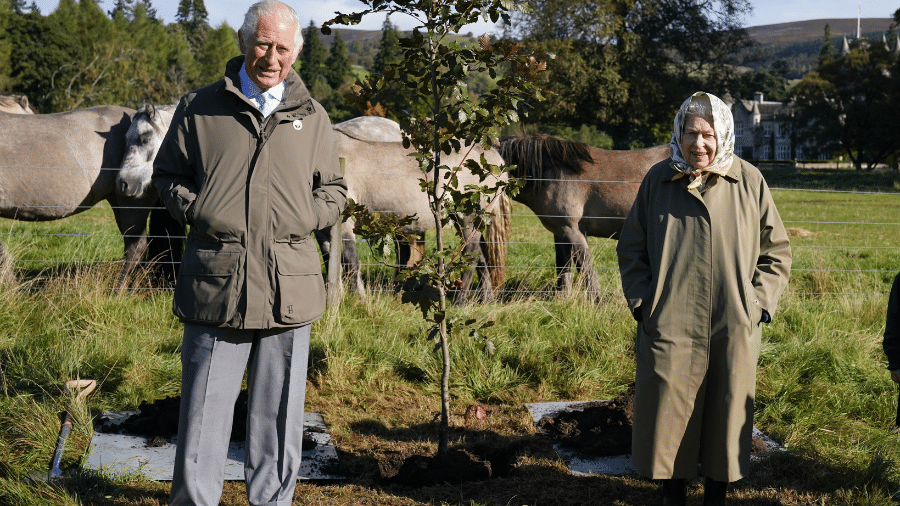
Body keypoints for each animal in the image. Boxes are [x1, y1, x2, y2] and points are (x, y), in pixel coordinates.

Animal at [500, 135, 668, 296]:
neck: (551, 174)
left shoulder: (572, 230)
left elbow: (585, 269)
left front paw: (597, 301)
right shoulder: (560, 233)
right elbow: (563, 269)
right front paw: (563, 300)